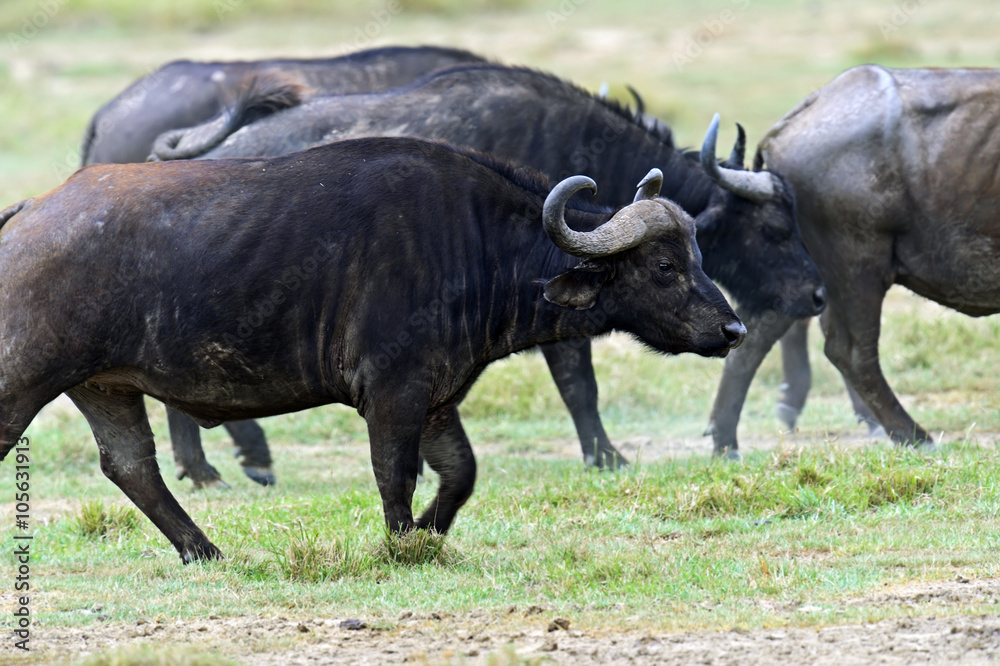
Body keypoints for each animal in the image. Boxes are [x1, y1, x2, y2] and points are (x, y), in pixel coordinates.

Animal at [153, 62, 825, 468]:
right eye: (774, 227)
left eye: (700, 253)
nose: (816, 295)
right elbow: (580, 384)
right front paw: (605, 455)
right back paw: (208, 467)